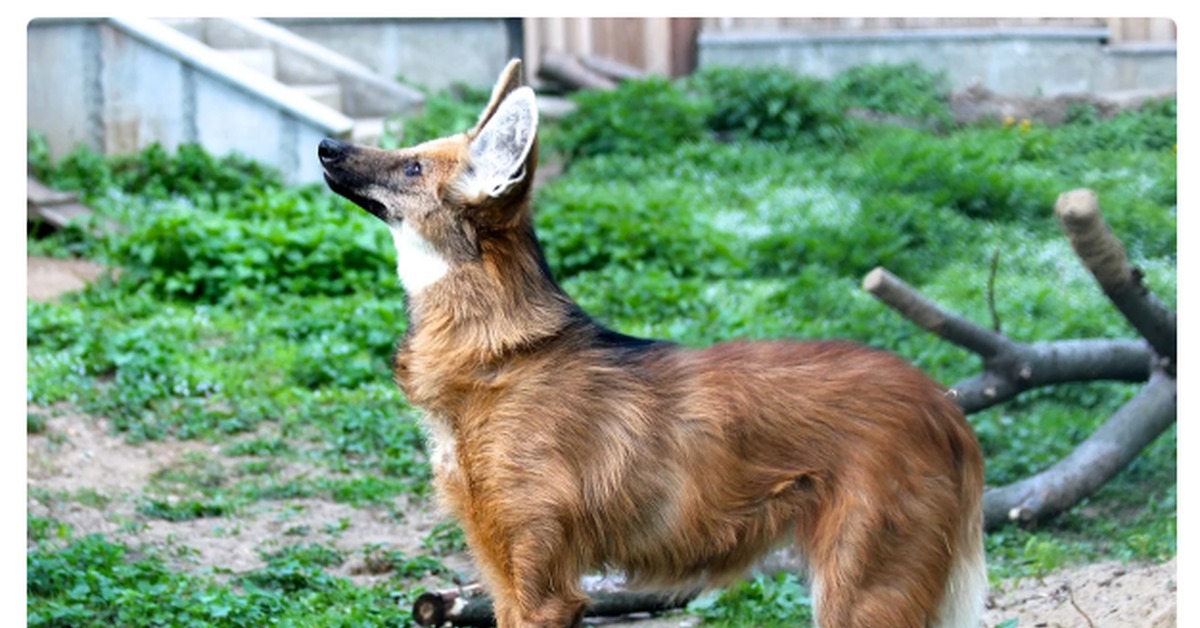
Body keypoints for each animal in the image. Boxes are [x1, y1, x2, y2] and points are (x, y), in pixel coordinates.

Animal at [319, 60, 984, 628]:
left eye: (412, 167)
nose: (327, 146)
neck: (497, 355)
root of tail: (944, 404)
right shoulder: (503, 573)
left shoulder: (543, 584)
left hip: (860, 588)